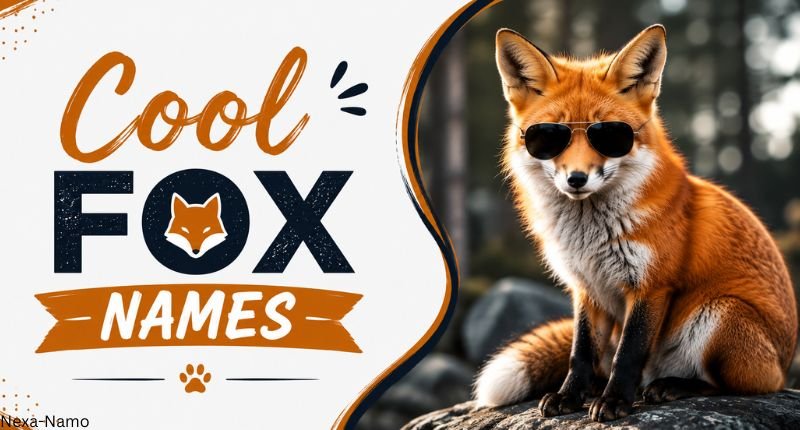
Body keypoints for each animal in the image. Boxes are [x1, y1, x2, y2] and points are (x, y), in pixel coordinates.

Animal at [473, 24, 798, 422]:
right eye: (549, 136)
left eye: (611, 135)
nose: (576, 179)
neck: (589, 237)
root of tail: (784, 368)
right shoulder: (587, 288)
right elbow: (581, 352)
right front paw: (570, 396)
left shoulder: (651, 285)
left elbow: (628, 353)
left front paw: (614, 401)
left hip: (721, 313)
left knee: (737, 385)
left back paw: (673, 386)